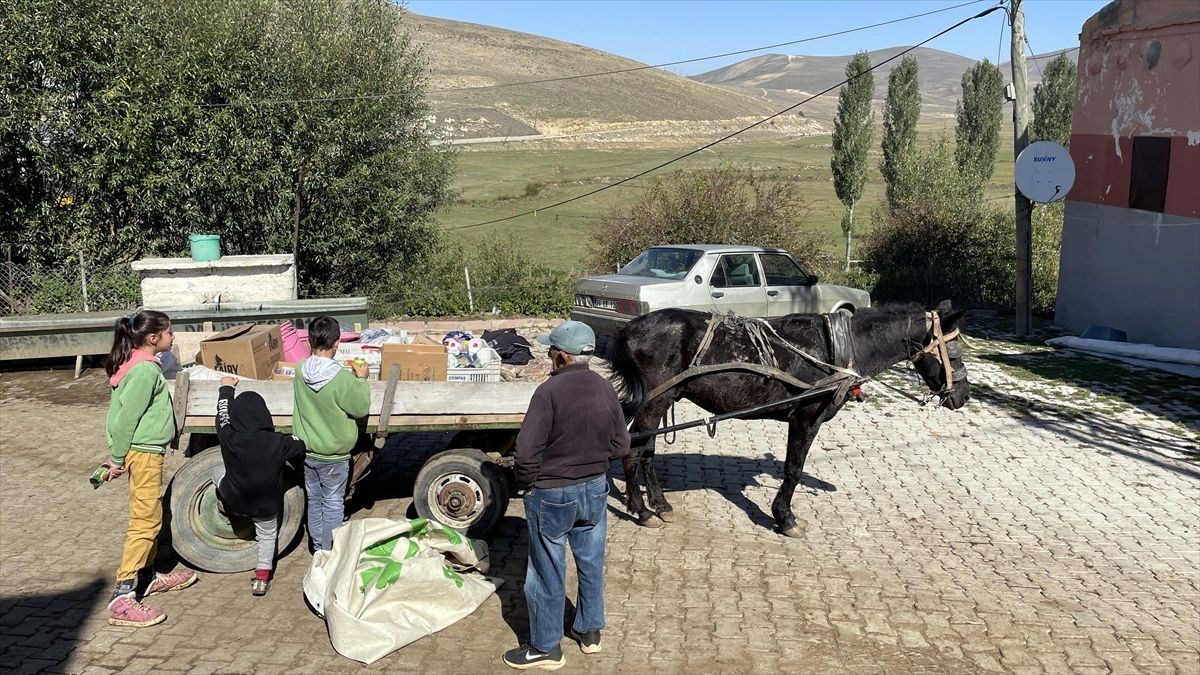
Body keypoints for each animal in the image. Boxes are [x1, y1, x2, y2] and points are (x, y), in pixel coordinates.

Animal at [614, 300, 969, 535]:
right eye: (954, 354)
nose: (963, 397)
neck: (838, 350)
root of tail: (631, 327)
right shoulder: (806, 418)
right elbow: (794, 469)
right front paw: (784, 518)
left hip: (662, 402)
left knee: (647, 452)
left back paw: (660, 505)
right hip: (654, 401)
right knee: (633, 452)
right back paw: (642, 511)